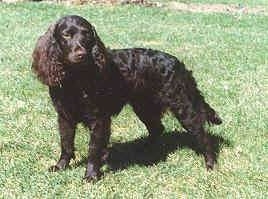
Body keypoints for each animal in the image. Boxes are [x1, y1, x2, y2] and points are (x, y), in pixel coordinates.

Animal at [31, 14, 222, 181]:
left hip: (183, 107)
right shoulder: (64, 116)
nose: (81, 54)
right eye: (66, 34)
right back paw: (145, 151)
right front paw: (60, 166)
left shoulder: (99, 118)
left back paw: (210, 164)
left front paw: (91, 175)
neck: (77, 79)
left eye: (86, 34)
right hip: (144, 106)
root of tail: (179, 64)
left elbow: (93, 149)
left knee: (203, 136)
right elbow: (66, 144)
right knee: (157, 129)